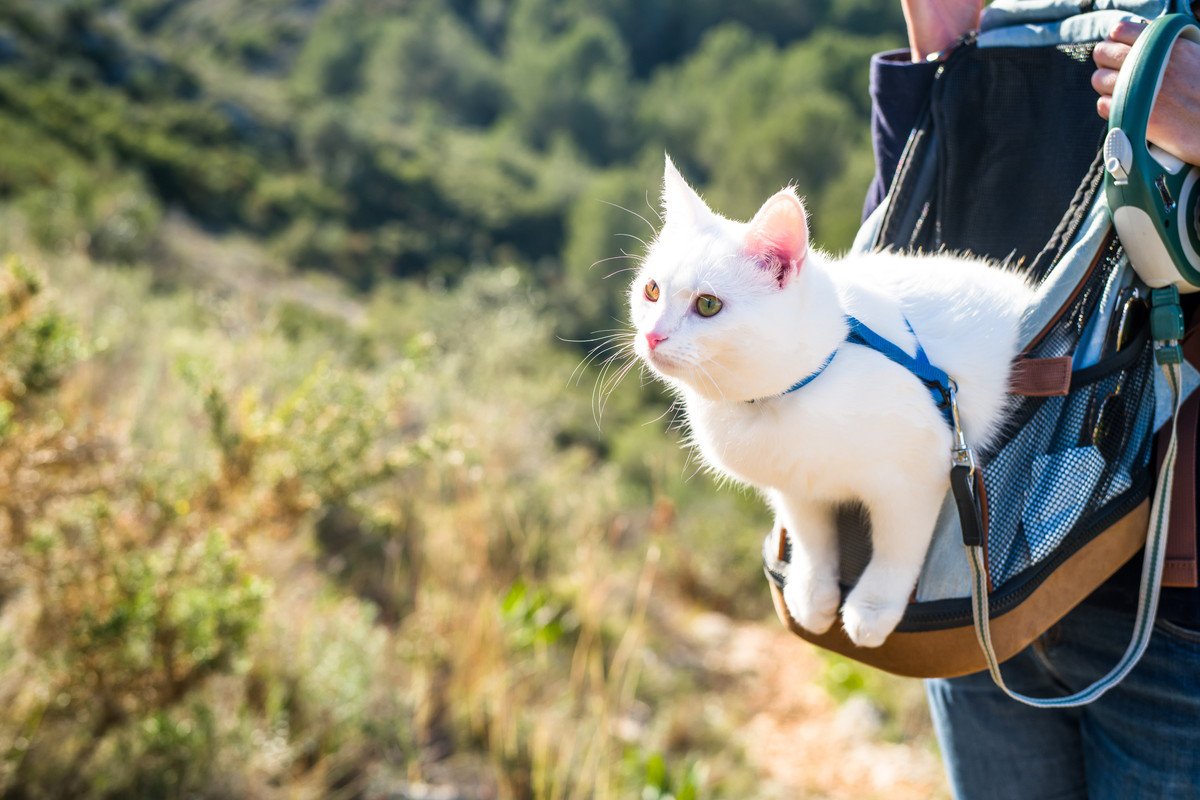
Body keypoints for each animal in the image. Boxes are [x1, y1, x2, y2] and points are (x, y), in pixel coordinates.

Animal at [628, 158, 1032, 652]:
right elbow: (811, 536)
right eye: (651, 291)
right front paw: (810, 592)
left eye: (707, 305)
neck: (783, 400)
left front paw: (874, 606)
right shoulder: (795, 485)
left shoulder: (918, 475)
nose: (652, 336)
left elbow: (897, 546)